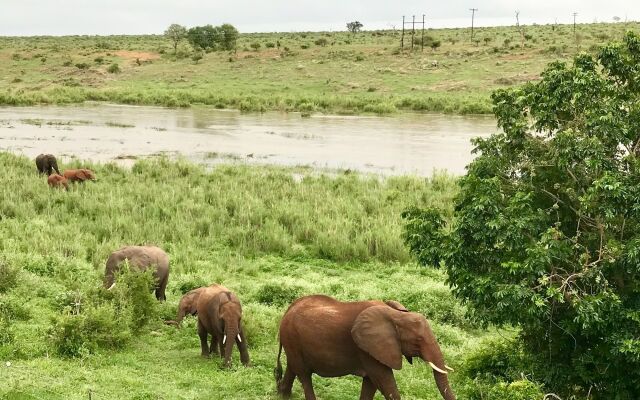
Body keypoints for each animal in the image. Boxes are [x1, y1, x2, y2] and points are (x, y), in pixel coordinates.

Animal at [276, 294, 456, 400]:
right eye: (418, 340)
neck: (396, 314)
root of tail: (288, 310)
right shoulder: (367, 350)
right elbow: (384, 381)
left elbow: (371, 384)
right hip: (292, 337)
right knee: (304, 375)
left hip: (292, 341)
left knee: (293, 368)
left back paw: (282, 395)